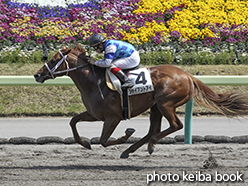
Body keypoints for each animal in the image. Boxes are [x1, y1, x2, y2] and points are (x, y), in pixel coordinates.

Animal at [34, 44, 248, 158]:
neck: (94, 82)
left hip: (165, 103)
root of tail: (188, 76)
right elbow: (73, 121)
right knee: (154, 129)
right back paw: (130, 150)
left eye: (53, 60)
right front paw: (85, 143)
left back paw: (149, 145)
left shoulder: (112, 117)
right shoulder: (94, 114)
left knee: (175, 125)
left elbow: (103, 141)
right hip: (155, 107)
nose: (37, 75)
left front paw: (125, 135)